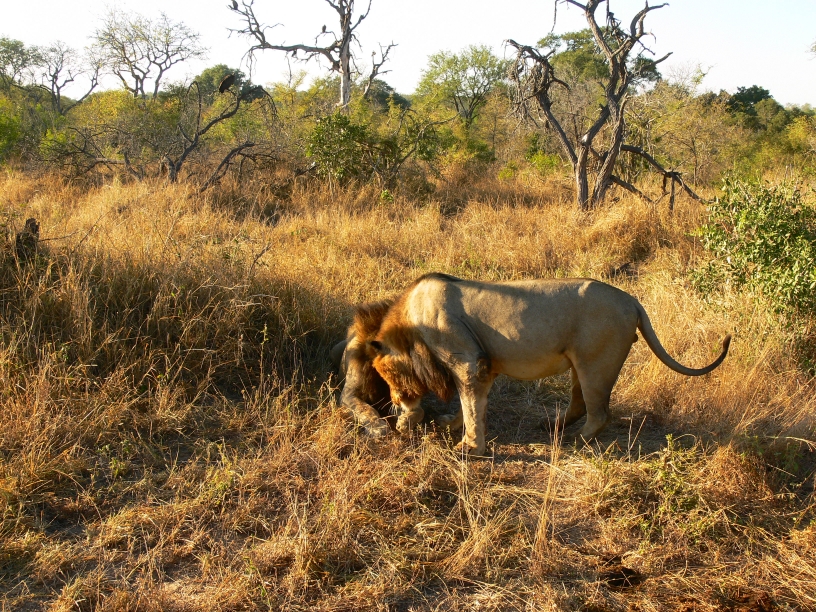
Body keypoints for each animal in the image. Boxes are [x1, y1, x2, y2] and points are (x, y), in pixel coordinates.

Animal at [365, 273, 731, 456]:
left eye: (388, 382)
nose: (393, 404)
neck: (410, 325)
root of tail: (633, 301)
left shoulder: (468, 361)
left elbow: (469, 405)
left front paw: (469, 447)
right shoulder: (485, 366)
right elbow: (469, 405)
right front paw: (451, 426)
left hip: (594, 363)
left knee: (600, 413)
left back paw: (576, 441)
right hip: (580, 365)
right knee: (581, 405)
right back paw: (551, 427)